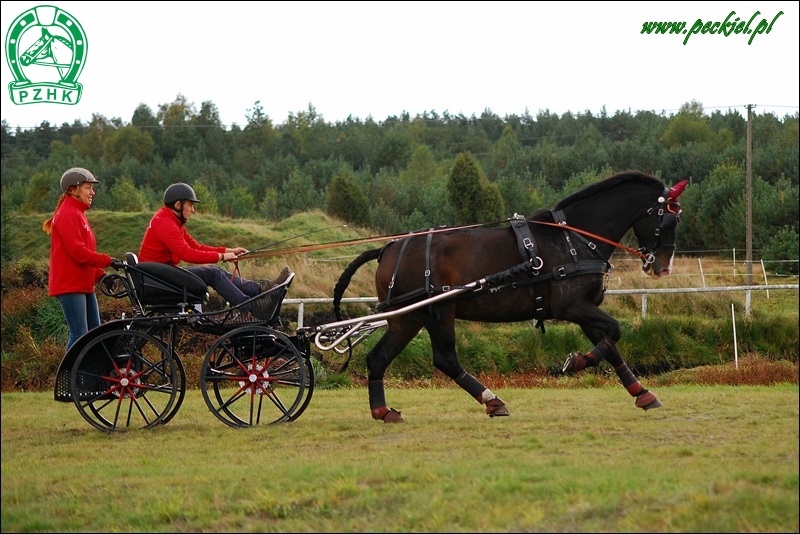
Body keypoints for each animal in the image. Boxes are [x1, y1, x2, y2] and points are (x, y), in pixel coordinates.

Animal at [332, 171, 688, 422]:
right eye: (669, 218)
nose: (663, 267)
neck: (573, 239)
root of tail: (388, 249)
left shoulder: (586, 308)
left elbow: (611, 347)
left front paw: (641, 393)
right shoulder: (572, 306)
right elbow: (615, 331)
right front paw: (575, 362)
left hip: (407, 318)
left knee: (378, 359)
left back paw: (383, 411)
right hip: (438, 313)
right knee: (445, 360)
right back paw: (492, 401)